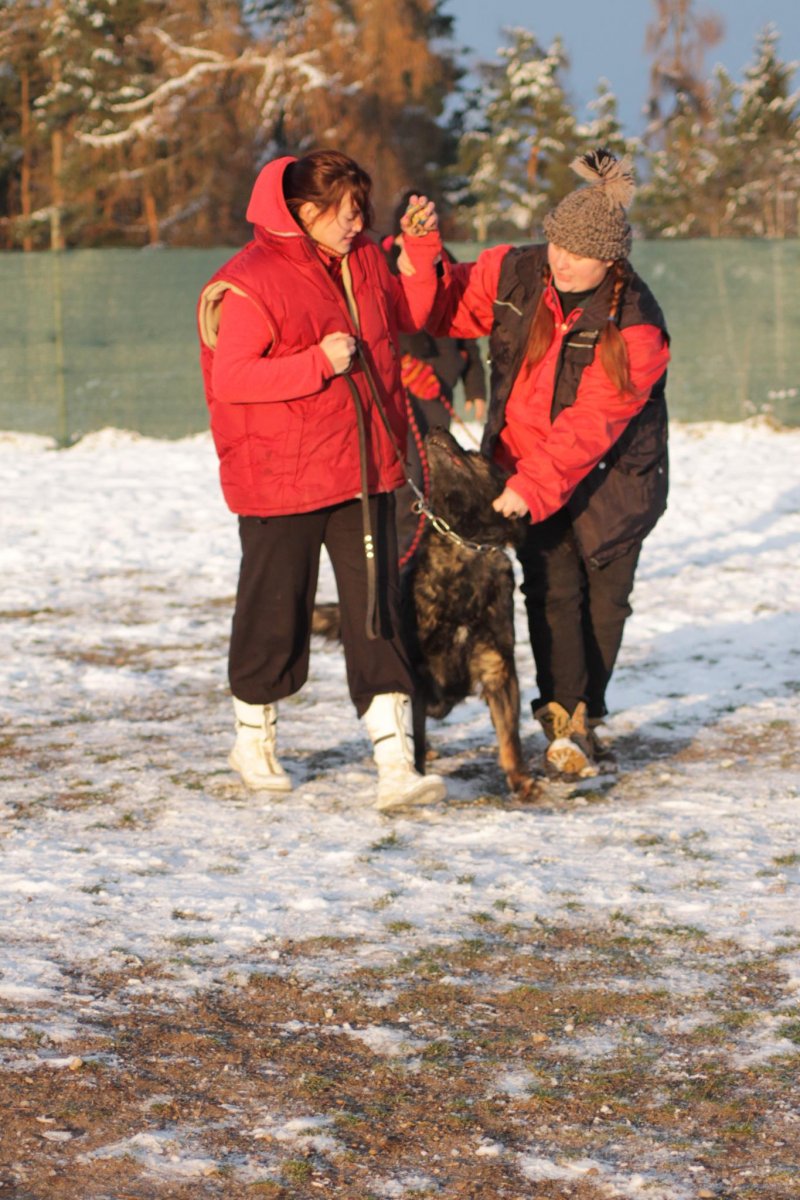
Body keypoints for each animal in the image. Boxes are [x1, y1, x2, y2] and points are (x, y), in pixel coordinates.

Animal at [407, 427, 537, 801]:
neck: (464, 545)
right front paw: (416, 776)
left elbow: (509, 734)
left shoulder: (498, 667)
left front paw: (520, 779)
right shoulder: (416, 671)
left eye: (475, 455)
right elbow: (414, 737)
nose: (436, 428)